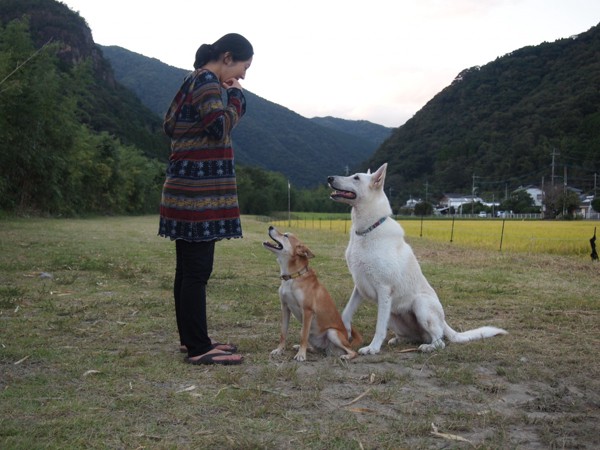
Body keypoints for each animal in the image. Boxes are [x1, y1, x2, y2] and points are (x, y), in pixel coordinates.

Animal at [264, 227, 360, 360]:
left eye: (286, 235)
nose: (270, 227)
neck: (293, 277)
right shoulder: (285, 307)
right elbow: (283, 333)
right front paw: (279, 350)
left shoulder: (307, 311)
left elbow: (303, 336)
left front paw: (301, 355)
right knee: (316, 349)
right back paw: (302, 348)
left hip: (332, 332)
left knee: (352, 352)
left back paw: (345, 356)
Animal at [328, 163, 506, 354]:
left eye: (356, 178)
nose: (329, 178)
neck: (367, 230)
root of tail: (444, 322)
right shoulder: (360, 286)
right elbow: (346, 313)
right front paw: (344, 332)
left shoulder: (384, 289)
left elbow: (379, 327)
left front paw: (373, 348)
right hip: (393, 314)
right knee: (415, 336)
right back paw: (398, 340)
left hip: (419, 304)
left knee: (439, 340)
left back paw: (428, 347)